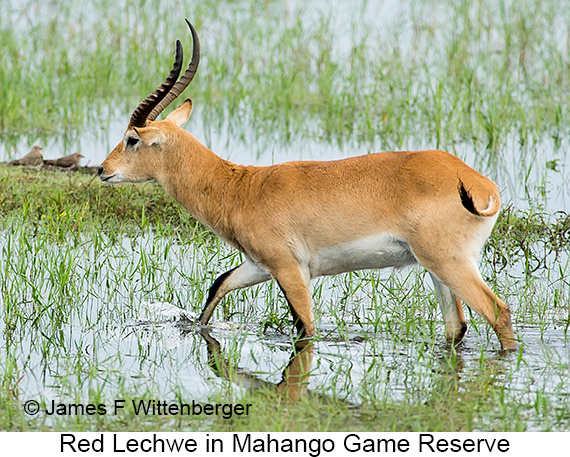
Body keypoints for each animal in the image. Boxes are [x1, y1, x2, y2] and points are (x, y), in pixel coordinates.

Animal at [98, 19, 516, 350]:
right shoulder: (258, 264)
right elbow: (217, 288)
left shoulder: (290, 269)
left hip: (449, 262)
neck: (240, 188)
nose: (103, 169)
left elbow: (305, 328)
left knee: (499, 312)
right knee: (457, 327)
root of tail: (478, 183)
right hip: (435, 267)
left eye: (132, 139)